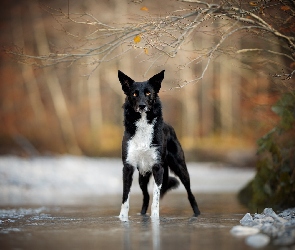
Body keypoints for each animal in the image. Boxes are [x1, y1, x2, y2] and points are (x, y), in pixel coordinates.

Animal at [118, 69, 201, 220]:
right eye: (134, 94)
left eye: (148, 93)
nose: (142, 106)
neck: (143, 125)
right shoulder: (128, 167)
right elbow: (125, 197)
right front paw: (122, 218)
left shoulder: (158, 167)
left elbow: (156, 197)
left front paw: (155, 217)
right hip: (142, 176)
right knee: (145, 197)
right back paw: (142, 214)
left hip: (180, 167)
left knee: (190, 193)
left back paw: (197, 213)